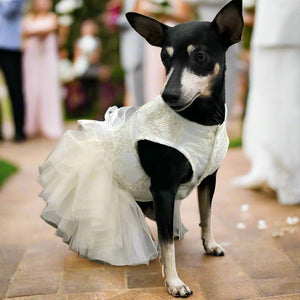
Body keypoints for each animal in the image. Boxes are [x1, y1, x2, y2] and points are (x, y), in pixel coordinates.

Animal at [125, 0, 245, 296]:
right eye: (164, 58)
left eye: (199, 57)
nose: (168, 95)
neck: (201, 119)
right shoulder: (162, 189)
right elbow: (166, 244)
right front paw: (174, 282)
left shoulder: (209, 180)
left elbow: (207, 214)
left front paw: (210, 244)